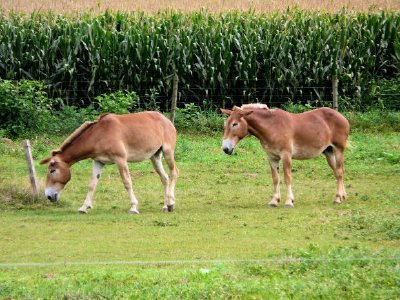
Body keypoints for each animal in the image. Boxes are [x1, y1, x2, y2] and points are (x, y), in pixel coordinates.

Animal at [40, 112, 178, 213]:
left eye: (52, 170)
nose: (49, 196)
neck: (99, 134)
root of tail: (167, 120)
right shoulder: (98, 162)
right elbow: (92, 185)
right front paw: (84, 207)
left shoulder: (120, 160)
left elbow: (127, 182)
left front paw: (133, 207)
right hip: (155, 157)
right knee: (164, 178)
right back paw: (165, 206)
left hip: (168, 152)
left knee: (174, 173)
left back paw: (171, 203)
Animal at [222, 104, 350, 207]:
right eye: (225, 124)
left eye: (234, 124)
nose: (225, 149)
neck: (272, 126)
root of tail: (342, 117)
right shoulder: (272, 157)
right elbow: (275, 178)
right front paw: (274, 201)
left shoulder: (286, 155)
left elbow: (287, 177)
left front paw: (289, 201)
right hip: (329, 152)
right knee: (338, 172)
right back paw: (343, 196)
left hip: (338, 150)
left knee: (339, 172)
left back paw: (337, 198)